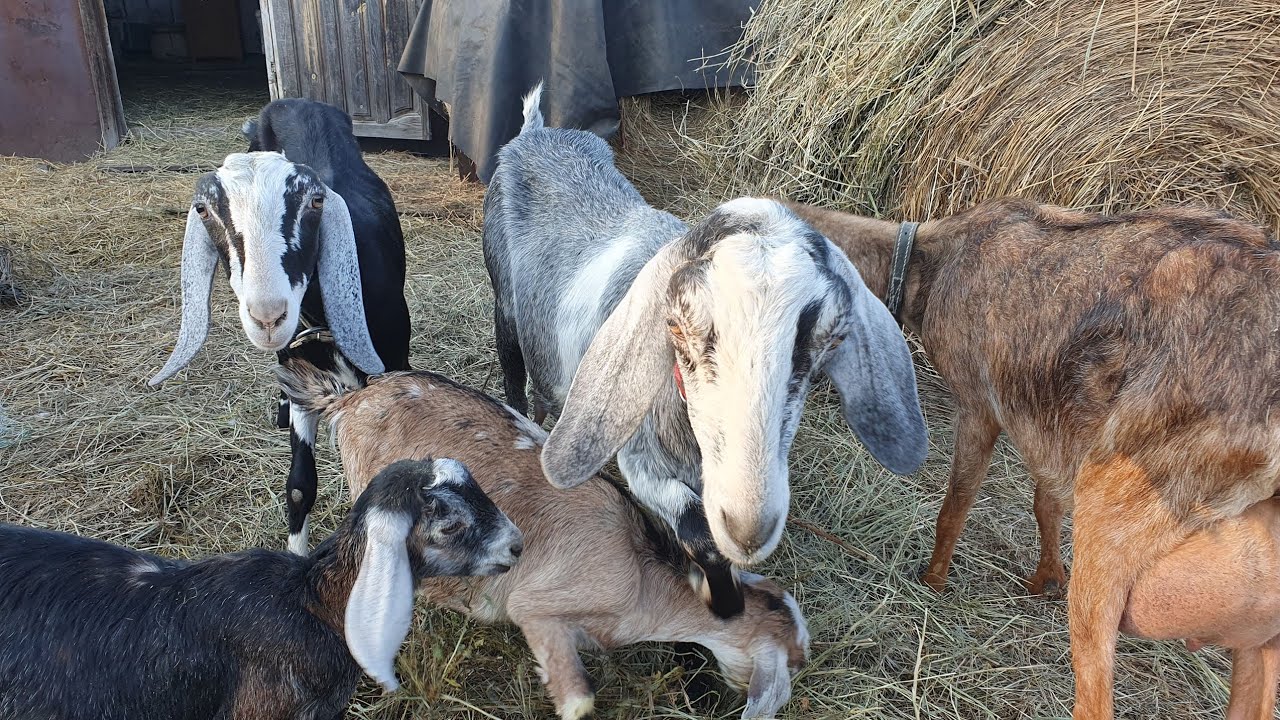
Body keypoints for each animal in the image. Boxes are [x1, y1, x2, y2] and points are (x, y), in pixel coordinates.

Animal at [147, 98, 411, 556]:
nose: (268, 316)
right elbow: (300, 487)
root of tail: (300, 101)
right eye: (203, 210)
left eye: (315, 203)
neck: (323, 327)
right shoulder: (303, 374)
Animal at [276, 351, 810, 720]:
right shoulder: (537, 609)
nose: (804, 661)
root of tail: (352, 397)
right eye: (792, 658)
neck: (641, 578)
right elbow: (578, 701)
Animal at [482, 83, 927, 618]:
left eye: (829, 338)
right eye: (674, 325)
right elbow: (701, 534)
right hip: (503, 298)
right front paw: (723, 603)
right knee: (512, 369)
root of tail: (536, 132)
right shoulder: (642, 458)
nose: (749, 526)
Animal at [784, 197, 1280, 719]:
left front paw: (932, 581)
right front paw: (1045, 579)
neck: (929, 261)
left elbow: (955, 506)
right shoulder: (1053, 428)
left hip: (1114, 509)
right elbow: (1045, 503)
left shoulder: (980, 407)